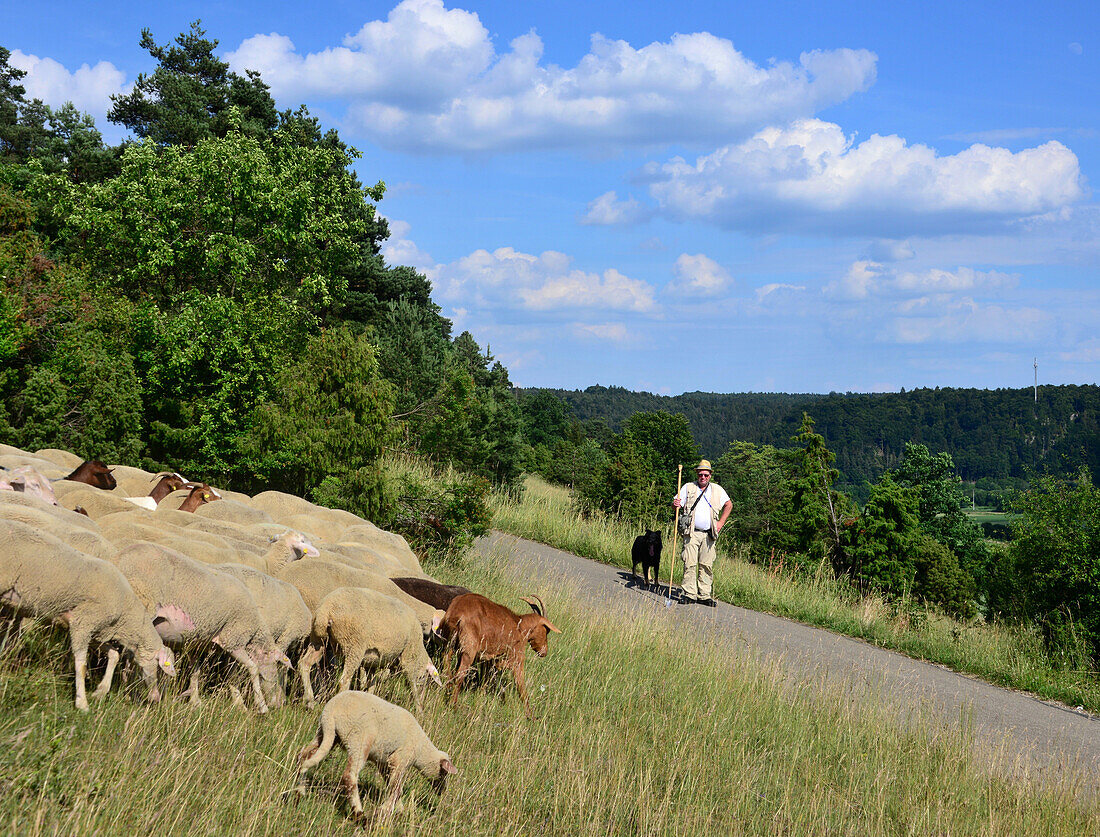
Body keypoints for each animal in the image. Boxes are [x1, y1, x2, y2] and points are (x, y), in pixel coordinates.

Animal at [0, 519, 174, 708]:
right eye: (158, 664)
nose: (156, 698)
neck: (125, 614)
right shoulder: (83, 623)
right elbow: (82, 666)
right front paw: (82, 703)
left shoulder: (96, 631)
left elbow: (114, 655)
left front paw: (100, 692)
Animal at [113, 541, 290, 712]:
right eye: (275, 670)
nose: (278, 704)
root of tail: (119, 558)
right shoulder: (233, 640)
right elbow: (252, 668)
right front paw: (261, 706)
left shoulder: (197, 644)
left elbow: (196, 673)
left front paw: (196, 701)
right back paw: (132, 693)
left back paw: (127, 693)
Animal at [292, 690, 455, 818]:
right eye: (444, 773)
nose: (442, 792)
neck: (422, 750)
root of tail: (331, 710)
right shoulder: (400, 759)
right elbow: (396, 789)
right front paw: (384, 811)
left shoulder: (383, 762)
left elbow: (392, 786)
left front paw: (398, 809)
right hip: (359, 739)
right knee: (349, 776)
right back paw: (359, 814)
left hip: (325, 735)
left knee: (303, 756)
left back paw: (299, 792)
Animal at [299, 585, 444, 708]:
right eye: (425, 679)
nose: (424, 700)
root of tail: (326, 609)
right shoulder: (409, 658)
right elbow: (412, 685)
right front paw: (419, 709)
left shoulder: (372, 664)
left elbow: (371, 685)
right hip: (354, 645)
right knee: (344, 680)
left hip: (319, 641)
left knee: (305, 663)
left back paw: (309, 701)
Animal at [437, 589, 558, 717]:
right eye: (546, 630)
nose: (544, 652)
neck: (519, 626)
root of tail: (456, 614)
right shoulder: (517, 656)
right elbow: (521, 686)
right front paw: (530, 716)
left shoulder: (487, 659)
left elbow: (486, 679)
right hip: (468, 650)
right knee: (460, 674)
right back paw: (454, 706)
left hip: (448, 644)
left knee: (447, 665)